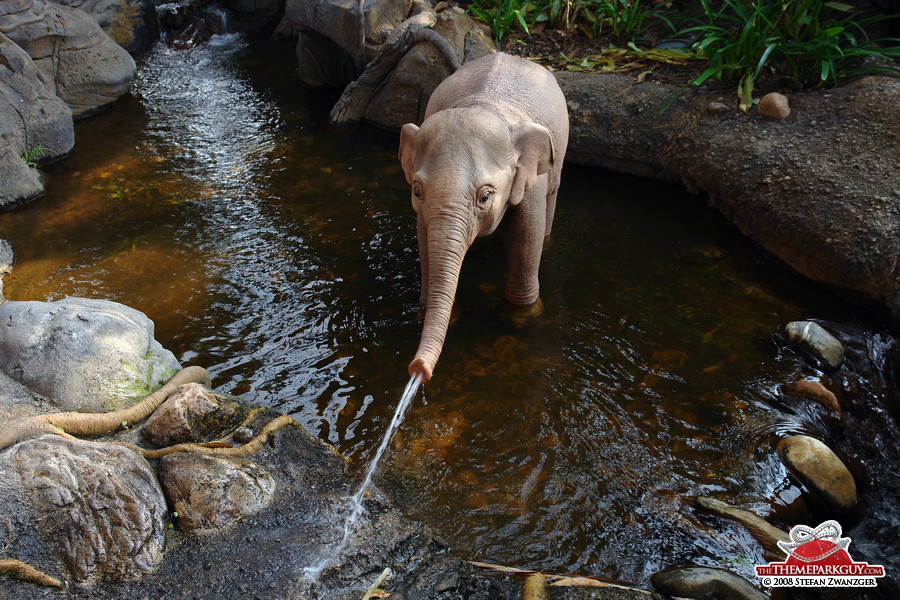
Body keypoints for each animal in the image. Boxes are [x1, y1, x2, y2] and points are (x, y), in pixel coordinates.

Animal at [400, 50, 568, 380]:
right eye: (417, 191)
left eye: (486, 196)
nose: (417, 369)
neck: (483, 105)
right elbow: (424, 238)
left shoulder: (531, 181)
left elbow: (526, 237)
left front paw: (520, 317)